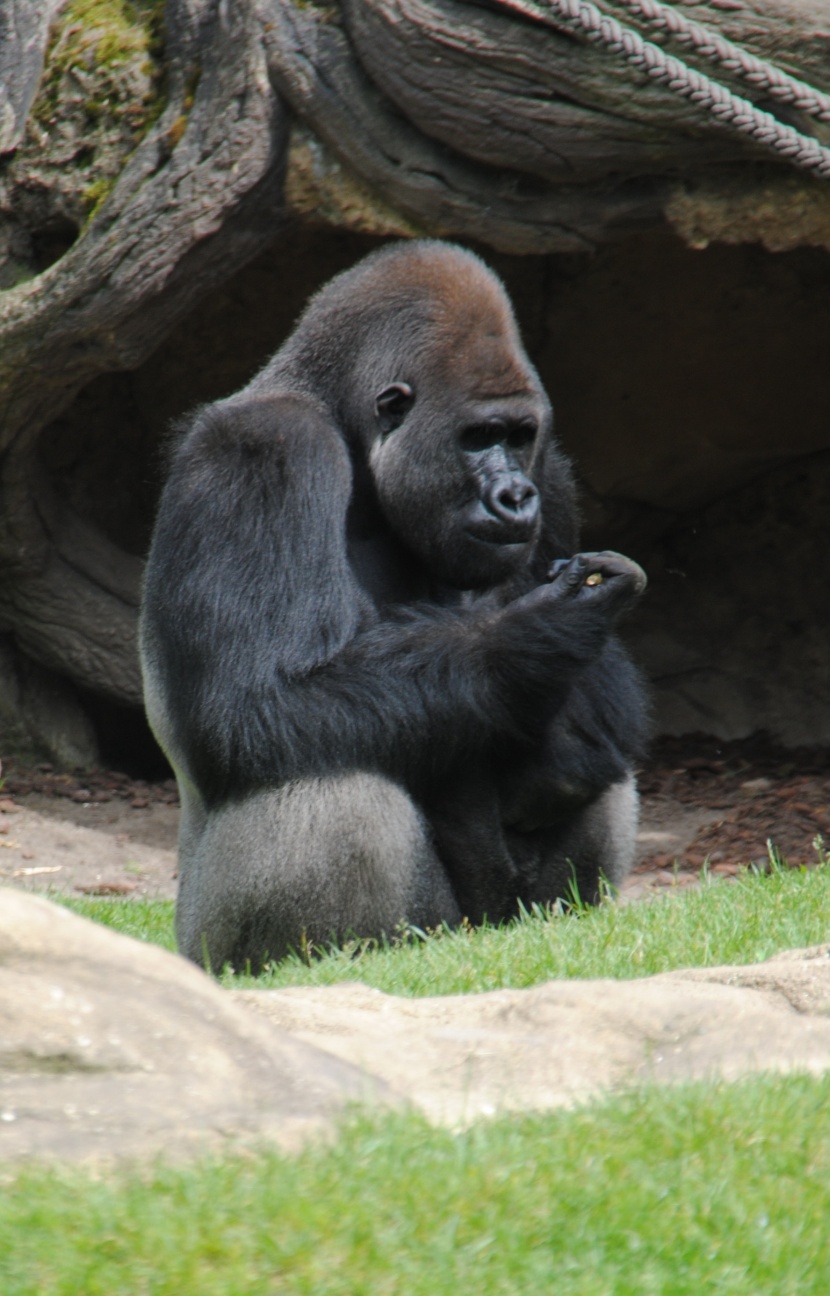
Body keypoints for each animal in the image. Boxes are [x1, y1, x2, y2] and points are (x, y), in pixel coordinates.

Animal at [141, 243, 648, 974]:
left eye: (518, 435)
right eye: (477, 437)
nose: (515, 496)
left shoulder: (552, 471)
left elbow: (599, 703)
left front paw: (568, 723)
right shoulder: (263, 450)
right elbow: (255, 700)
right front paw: (533, 640)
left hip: (500, 924)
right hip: (215, 944)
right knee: (335, 789)